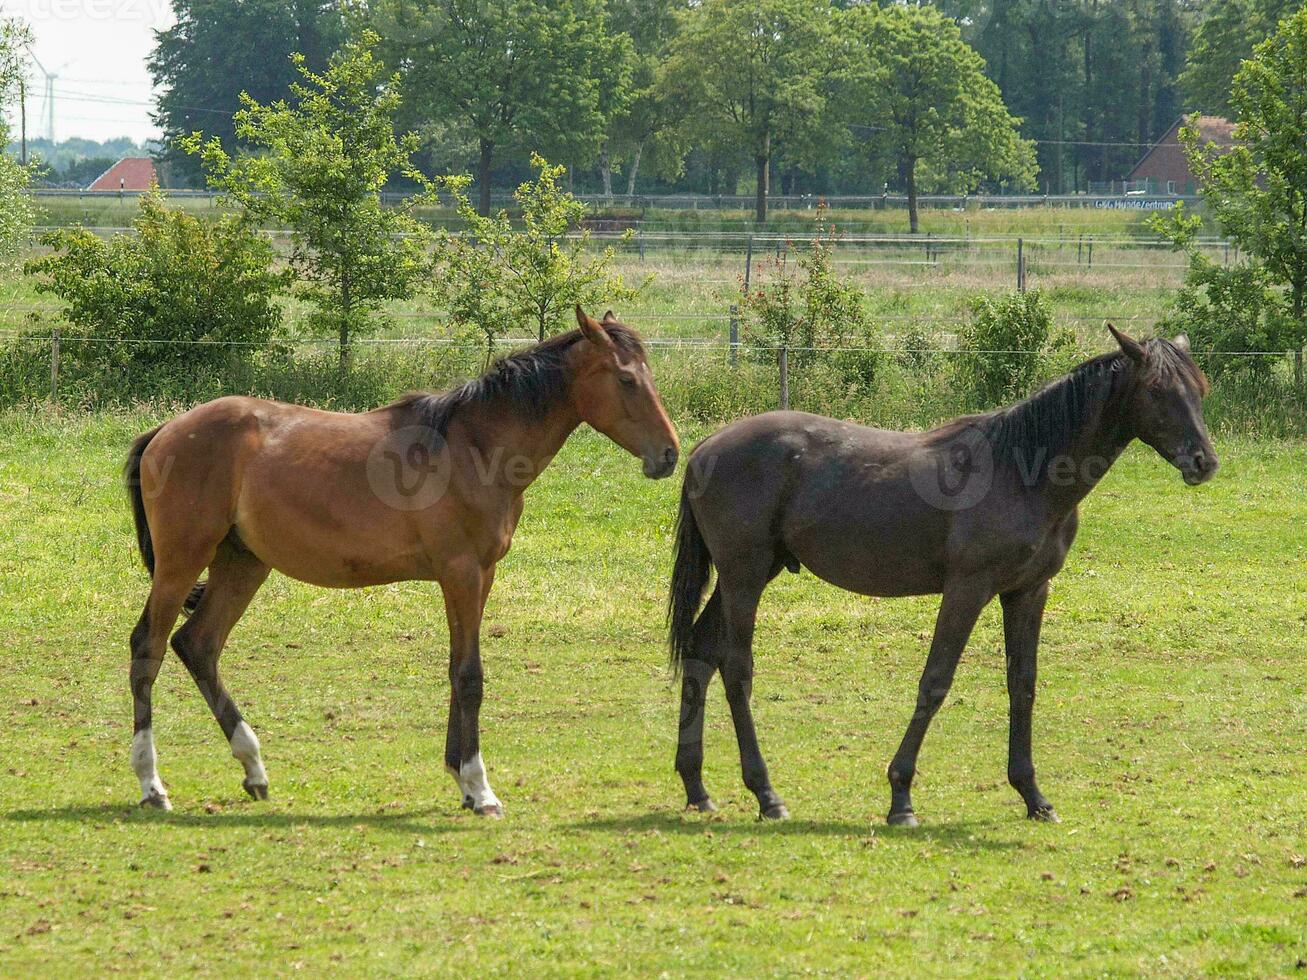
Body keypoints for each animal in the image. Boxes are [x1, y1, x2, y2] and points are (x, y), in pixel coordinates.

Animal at [122, 310, 679, 815]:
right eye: (626, 379)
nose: (670, 454)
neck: (475, 448)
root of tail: (166, 430)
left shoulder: (482, 575)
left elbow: (458, 667)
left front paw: (461, 779)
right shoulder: (460, 573)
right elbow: (470, 675)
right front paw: (481, 789)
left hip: (243, 565)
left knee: (198, 645)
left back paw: (254, 768)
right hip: (183, 561)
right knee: (149, 647)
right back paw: (152, 785)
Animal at [674, 326, 1212, 825]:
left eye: (1199, 388)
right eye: (1157, 390)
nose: (1204, 462)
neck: (1021, 473)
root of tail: (706, 447)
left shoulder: (1028, 592)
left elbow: (1023, 684)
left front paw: (1032, 795)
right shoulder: (967, 590)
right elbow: (935, 681)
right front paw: (901, 796)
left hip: (750, 575)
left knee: (701, 653)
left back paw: (697, 787)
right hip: (744, 577)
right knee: (736, 669)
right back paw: (766, 794)